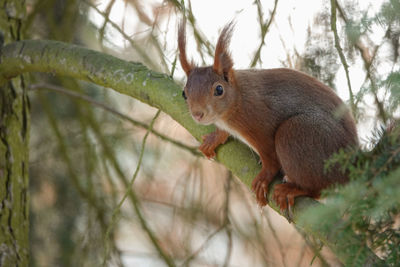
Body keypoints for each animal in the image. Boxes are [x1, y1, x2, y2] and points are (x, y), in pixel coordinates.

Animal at [177, 22, 358, 213]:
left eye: (219, 90)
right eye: (184, 93)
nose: (198, 114)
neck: (238, 100)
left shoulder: (261, 124)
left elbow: (270, 157)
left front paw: (264, 179)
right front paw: (215, 138)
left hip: (298, 134)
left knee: (318, 189)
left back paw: (292, 190)